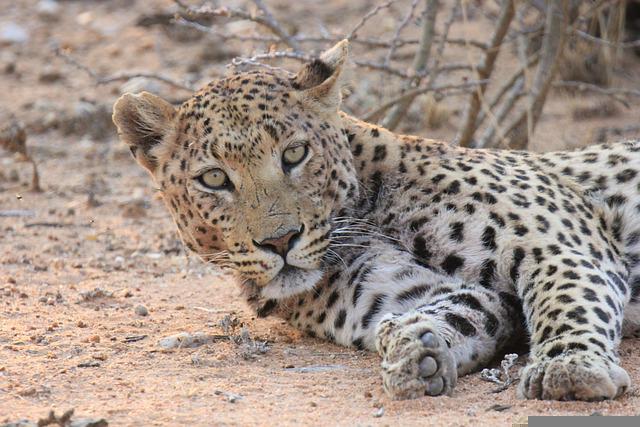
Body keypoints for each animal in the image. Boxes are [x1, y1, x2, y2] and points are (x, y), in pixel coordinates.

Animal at [114, 40, 640, 402]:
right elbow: (463, 310)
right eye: (214, 178)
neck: (368, 208)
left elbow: (566, 299)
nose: (280, 241)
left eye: (295, 154)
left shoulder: (557, 243)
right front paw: (417, 350)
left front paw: (570, 369)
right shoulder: (410, 294)